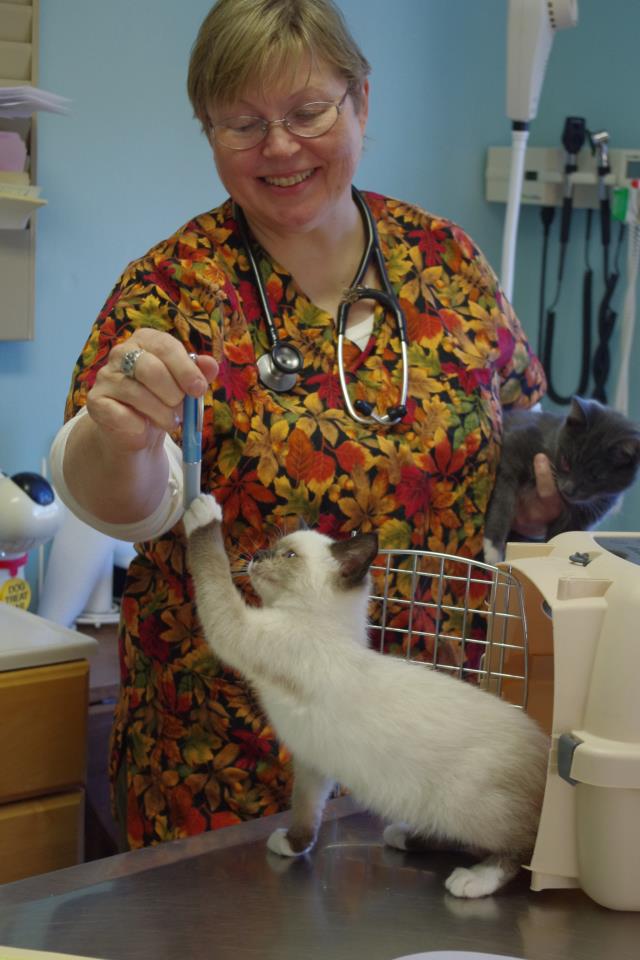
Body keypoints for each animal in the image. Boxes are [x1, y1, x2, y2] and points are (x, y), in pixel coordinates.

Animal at [182, 496, 548, 900]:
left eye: (288, 555)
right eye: (275, 549)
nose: (259, 554)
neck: (321, 624)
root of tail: (546, 750)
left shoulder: (234, 628)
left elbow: (212, 572)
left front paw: (202, 513)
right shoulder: (314, 761)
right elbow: (306, 809)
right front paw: (294, 845)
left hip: (464, 805)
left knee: (524, 847)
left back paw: (473, 879)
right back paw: (405, 836)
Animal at [484, 396, 640, 568]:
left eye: (595, 477)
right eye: (566, 461)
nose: (568, 489)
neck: (553, 441)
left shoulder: (582, 517)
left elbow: (561, 536)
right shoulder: (516, 445)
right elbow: (504, 500)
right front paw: (492, 548)